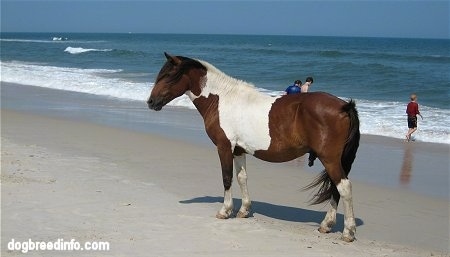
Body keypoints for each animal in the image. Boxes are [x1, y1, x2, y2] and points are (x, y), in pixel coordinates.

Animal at [149, 52, 360, 242]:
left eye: (169, 75)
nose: (151, 102)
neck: (221, 99)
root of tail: (344, 106)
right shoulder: (238, 150)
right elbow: (242, 178)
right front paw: (243, 210)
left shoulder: (224, 147)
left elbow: (227, 178)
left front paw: (225, 211)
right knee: (335, 188)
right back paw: (326, 225)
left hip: (330, 159)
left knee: (344, 187)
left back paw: (348, 232)